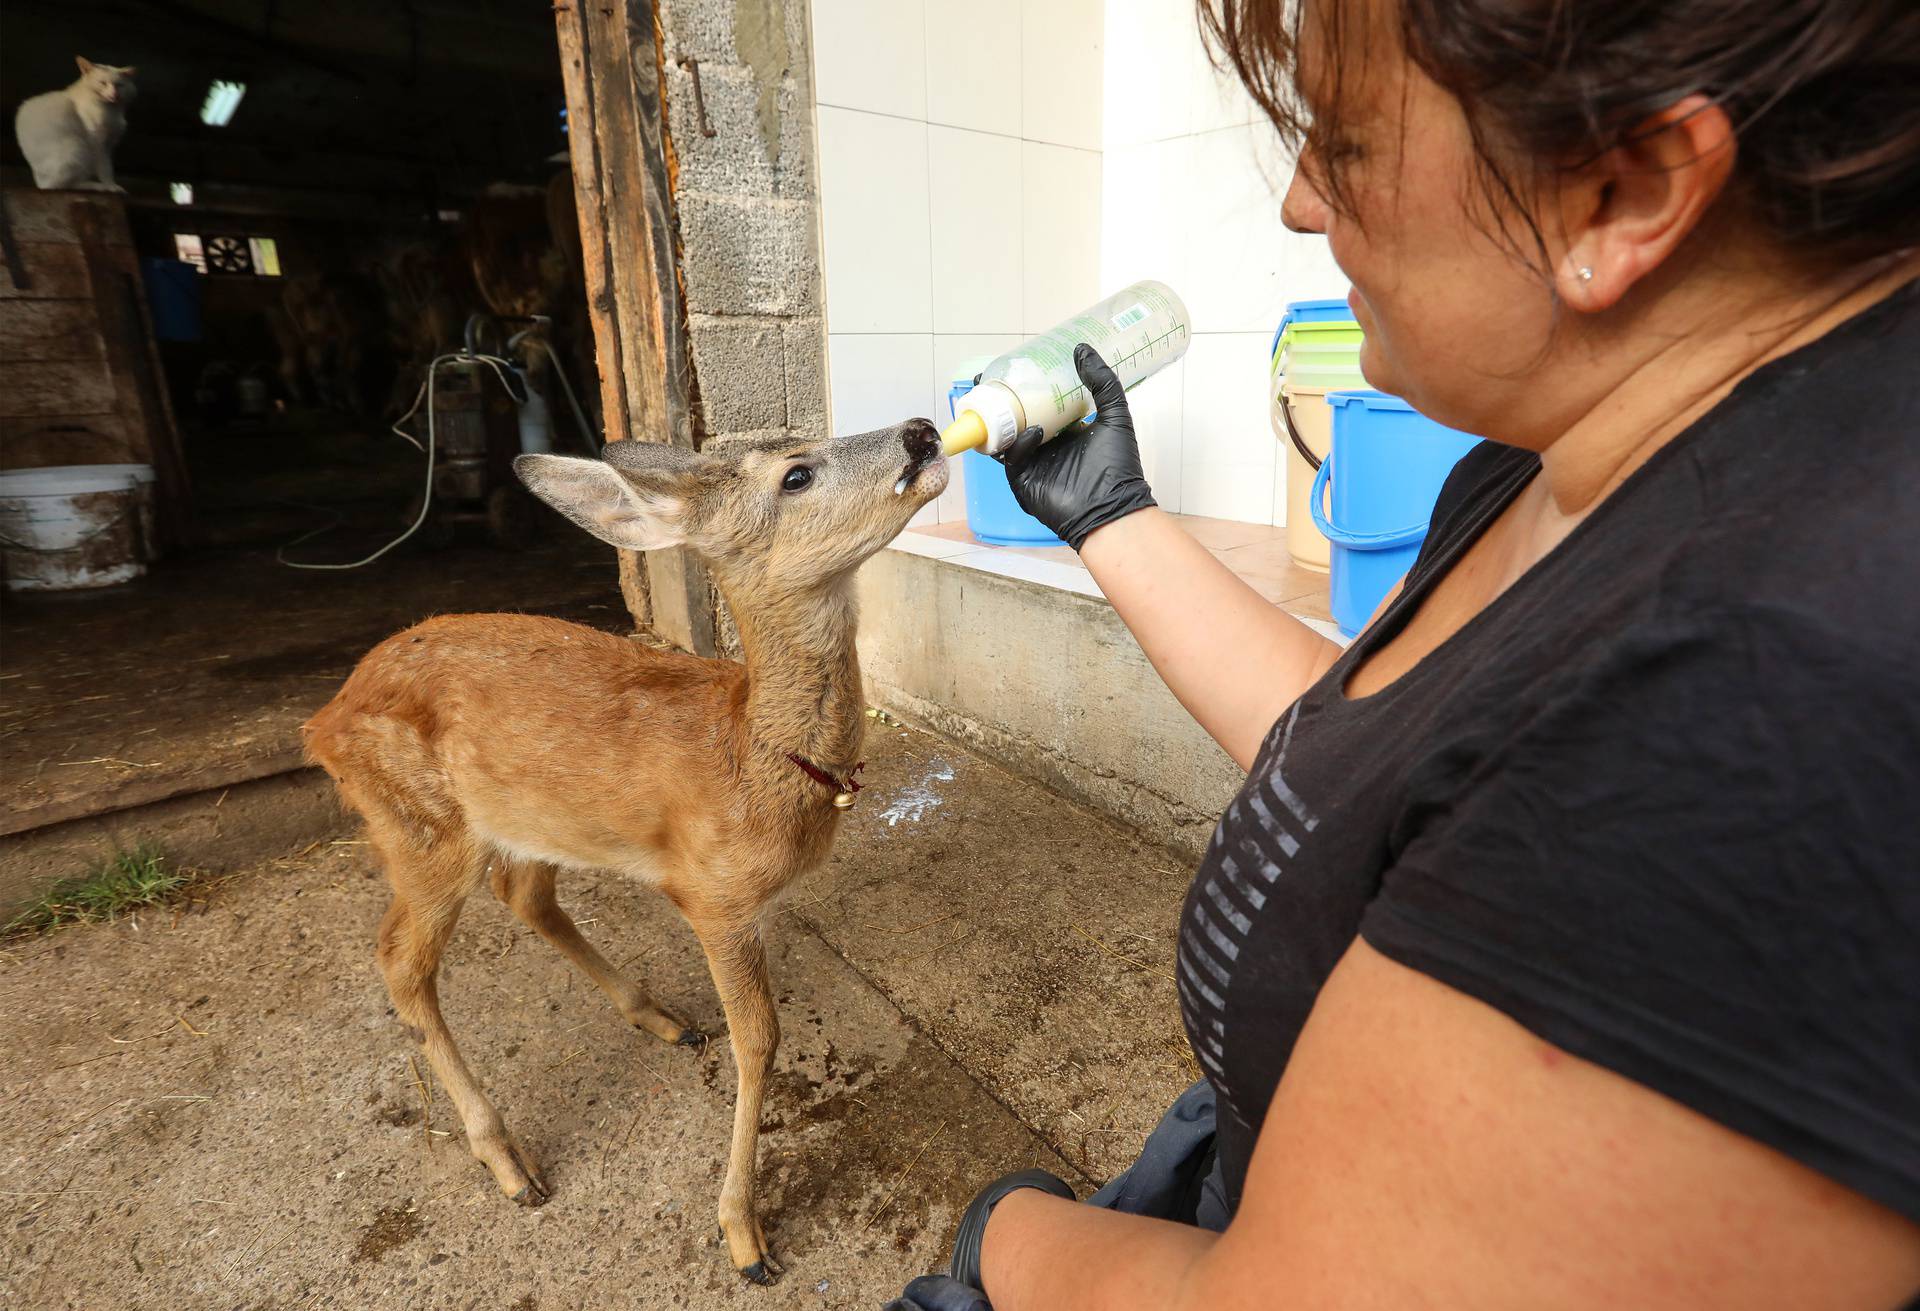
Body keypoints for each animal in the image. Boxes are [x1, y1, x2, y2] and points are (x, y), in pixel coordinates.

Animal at [303, 422, 948, 1282]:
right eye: (796, 474)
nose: (922, 431)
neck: (752, 758)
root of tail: (322, 721)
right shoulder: (713, 894)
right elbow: (760, 1040)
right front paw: (745, 1237)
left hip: (534, 816)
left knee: (524, 894)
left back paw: (660, 1017)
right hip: (421, 828)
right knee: (400, 959)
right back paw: (510, 1163)